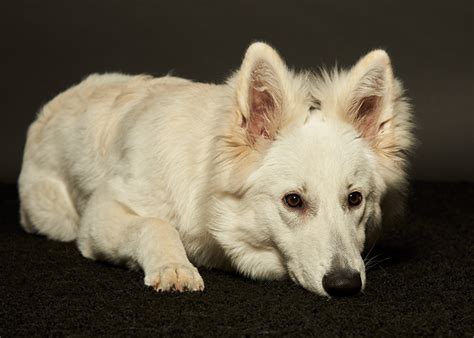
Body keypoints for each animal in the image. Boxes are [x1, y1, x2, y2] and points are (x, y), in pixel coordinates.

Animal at [18, 41, 412, 296]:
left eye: (355, 198)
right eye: (293, 200)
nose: (346, 285)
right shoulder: (102, 214)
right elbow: (154, 224)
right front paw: (173, 267)